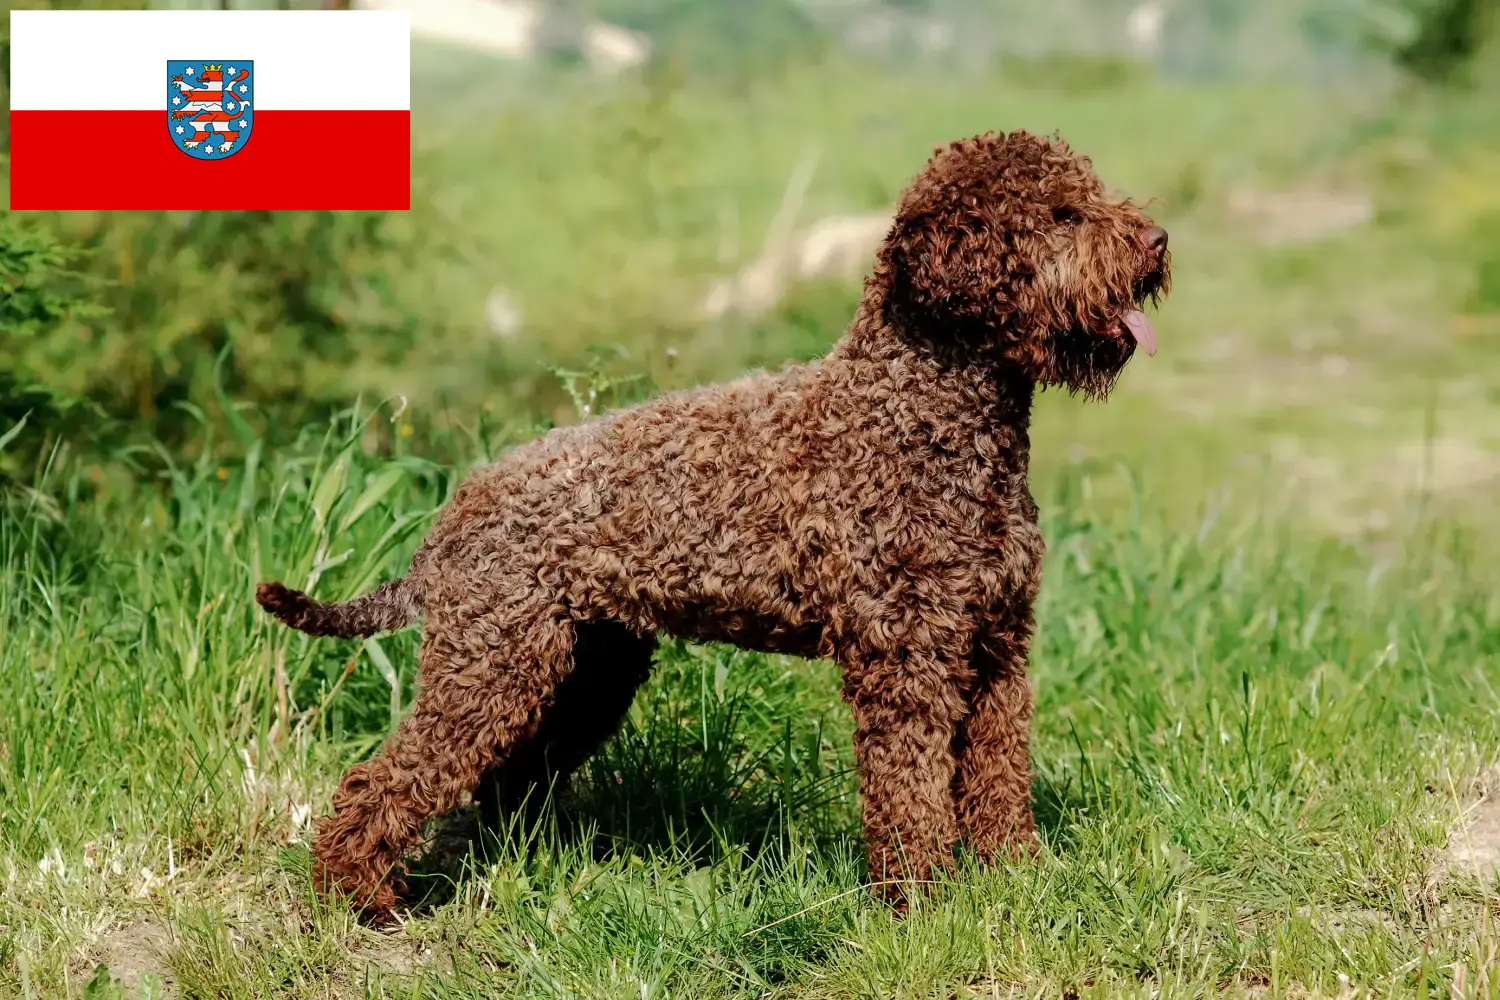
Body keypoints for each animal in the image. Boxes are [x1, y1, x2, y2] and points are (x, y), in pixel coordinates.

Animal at [258, 128, 1170, 917]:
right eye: (1062, 215)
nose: (1157, 240)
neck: (918, 413)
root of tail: (456, 509)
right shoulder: (908, 659)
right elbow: (910, 791)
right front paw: (920, 900)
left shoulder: (998, 648)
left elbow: (998, 774)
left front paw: (1017, 875)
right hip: (491, 668)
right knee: (387, 780)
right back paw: (359, 896)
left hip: (584, 669)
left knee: (503, 782)